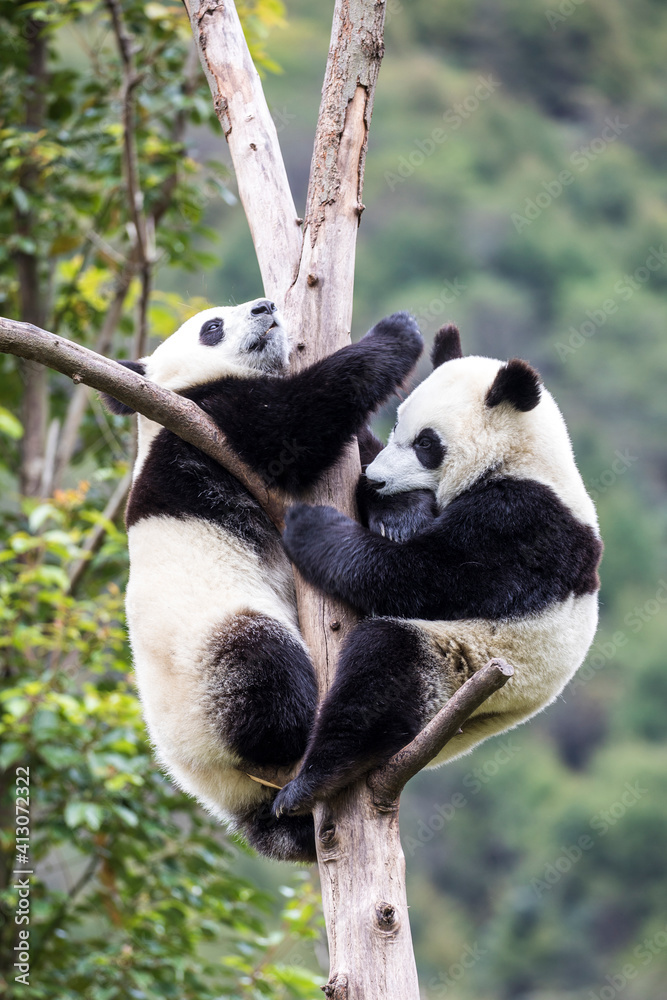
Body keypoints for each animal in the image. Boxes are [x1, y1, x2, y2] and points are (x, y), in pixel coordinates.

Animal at [102, 298, 423, 862]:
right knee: (266, 674)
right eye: (211, 326)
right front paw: (396, 333)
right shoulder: (204, 419)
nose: (265, 306)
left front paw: (399, 514)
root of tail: (214, 782)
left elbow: (365, 460)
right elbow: (292, 425)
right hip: (213, 665)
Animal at [273, 322, 603, 817]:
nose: (377, 481)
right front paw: (396, 508)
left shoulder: (521, 523)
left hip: (461, 666)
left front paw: (312, 528)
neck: (520, 455)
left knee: (384, 667)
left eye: (426, 444)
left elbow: (423, 578)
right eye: (396, 425)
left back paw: (313, 780)